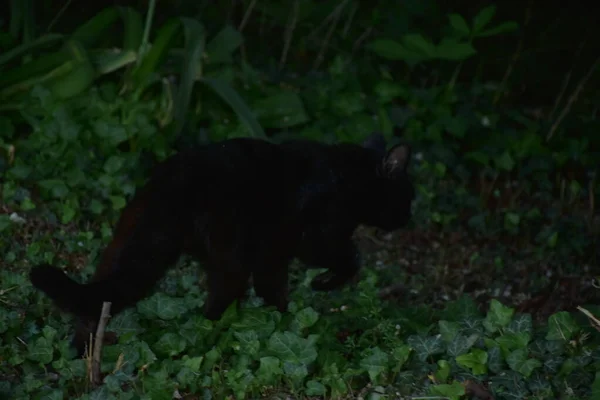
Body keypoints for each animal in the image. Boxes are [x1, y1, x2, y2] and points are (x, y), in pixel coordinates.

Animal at [28, 133, 412, 354]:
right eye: (407, 197)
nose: (409, 216)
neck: (350, 176)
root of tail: (169, 180)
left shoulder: (275, 252)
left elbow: (273, 288)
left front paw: (283, 321)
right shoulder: (316, 237)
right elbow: (350, 257)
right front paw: (321, 286)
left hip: (127, 241)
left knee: (97, 296)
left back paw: (82, 352)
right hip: (230, 256)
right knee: (217, 301)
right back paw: (213, 336)